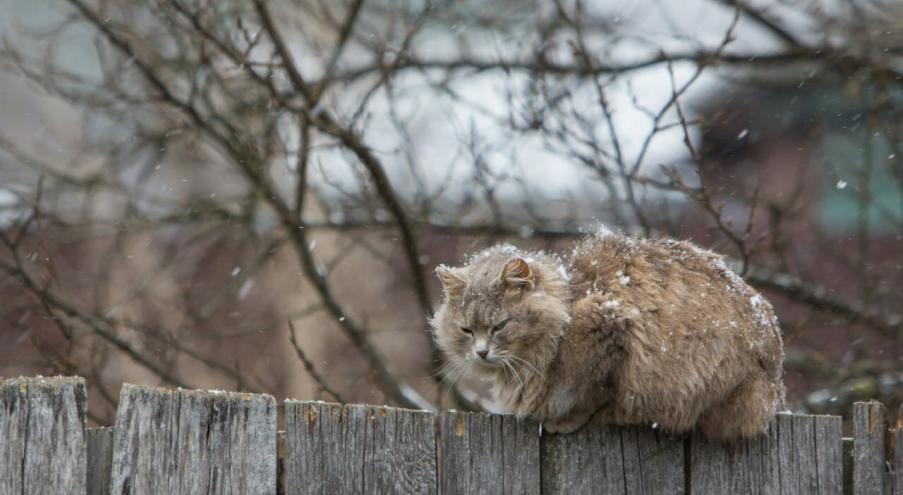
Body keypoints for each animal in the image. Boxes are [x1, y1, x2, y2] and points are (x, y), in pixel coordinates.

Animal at [430, 231, 784, 444]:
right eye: (466, 330)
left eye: (500, 326)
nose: (481, 352)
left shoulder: (607, 325)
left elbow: (590, 395)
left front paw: (564, 421)